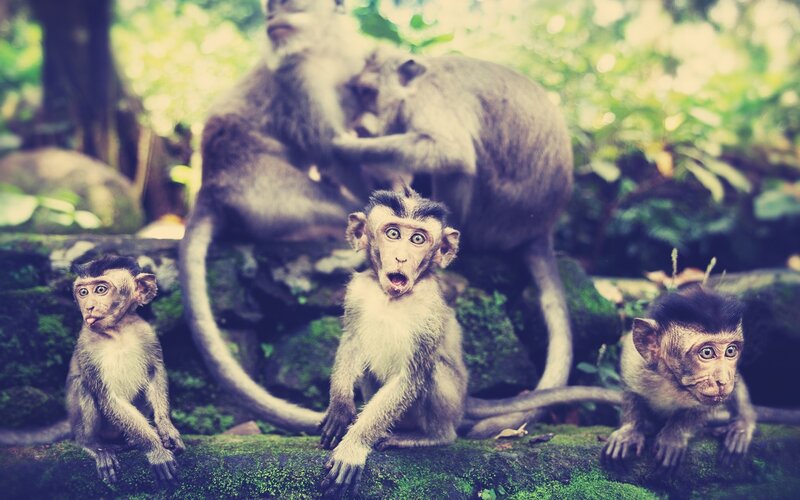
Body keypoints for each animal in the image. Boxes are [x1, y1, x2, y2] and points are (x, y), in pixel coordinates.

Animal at [179, 0, 374, 433]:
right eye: (270, 8)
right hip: (265, 190)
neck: (322, 49)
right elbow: (332, 148)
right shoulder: (296, 81)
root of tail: (210, 183)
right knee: (330, 205)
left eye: (288, 6)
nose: (272, 18)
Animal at [319, 187, 468, 495]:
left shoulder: (428, 310)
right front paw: (340, 407)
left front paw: (353, 447)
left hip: (453, 406)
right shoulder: (358, 290)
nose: (401, 258)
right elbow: (352, 340)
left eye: (418, 239)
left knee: (432, 370)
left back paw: (431, 436)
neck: (392, 298)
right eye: (393, 234)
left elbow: (410, 376)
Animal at [332, 50, 574, 436]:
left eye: (368, 92)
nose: (360, 121)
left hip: (495, 218)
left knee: (458, 169)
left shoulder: (427, 101)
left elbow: (449, 152)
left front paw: (349, 147)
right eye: (357, 92)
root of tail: (542, 227)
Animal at [601, 285, 756, 470]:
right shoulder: (634, 361)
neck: (673, 380)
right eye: (707, 352)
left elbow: (703, 407)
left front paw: (673, 436)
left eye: (730, 351)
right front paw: (629, 431)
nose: (723, 381)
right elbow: (632, 390)